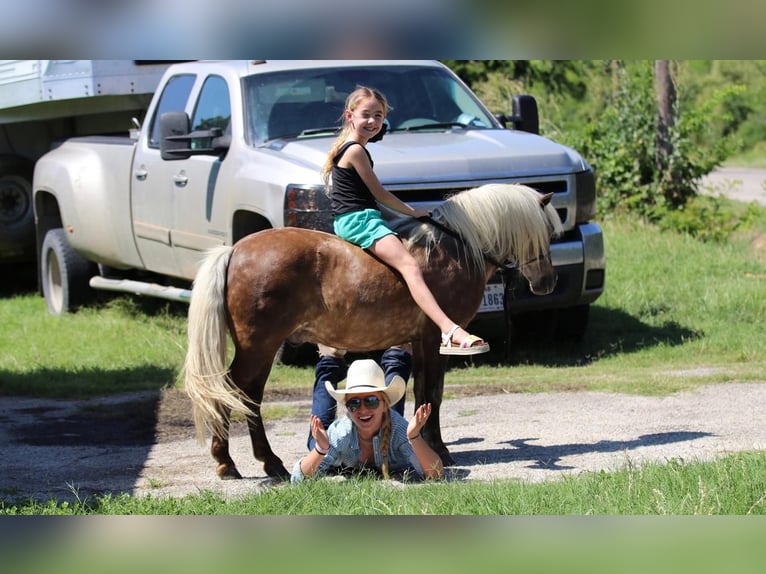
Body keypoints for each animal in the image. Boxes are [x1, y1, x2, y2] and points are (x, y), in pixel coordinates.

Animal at [182, 184, 560, 482]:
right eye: (545, 233)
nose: (547, 282)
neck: (453, 251)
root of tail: (234, 250)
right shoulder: (433, 341)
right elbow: (432, 395)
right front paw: (440, 448)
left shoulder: (416, 343)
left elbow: (422, 394)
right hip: (258, 347)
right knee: (232, 393)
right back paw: (234, 461)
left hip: (261, 349)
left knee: (246, 396)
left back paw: (260, 461)